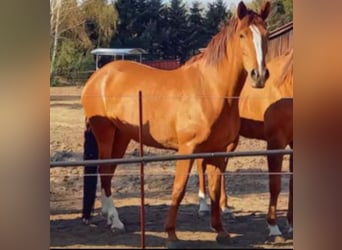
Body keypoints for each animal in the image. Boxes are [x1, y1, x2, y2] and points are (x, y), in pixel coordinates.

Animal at [80, 1, 270, 244]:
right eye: (242, 35)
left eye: (265, 35)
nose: (259, 76)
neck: (210, 90)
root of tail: (98, 76)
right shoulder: (186, 149)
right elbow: (178, 189)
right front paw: (170, 233)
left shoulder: (218, 152)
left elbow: (215, 190)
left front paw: (220, 230)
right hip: (105, 133)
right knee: (104, 171)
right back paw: (115, 221)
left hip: (122, 136)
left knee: (109, 171)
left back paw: (109, 216)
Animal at [196, 48, 292, 236]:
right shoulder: (275, 144)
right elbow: (275, 184)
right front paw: (273, 226)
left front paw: (291, 223)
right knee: (200, 163)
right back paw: (203, 204)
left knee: (221, 168)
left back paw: (224, 206)